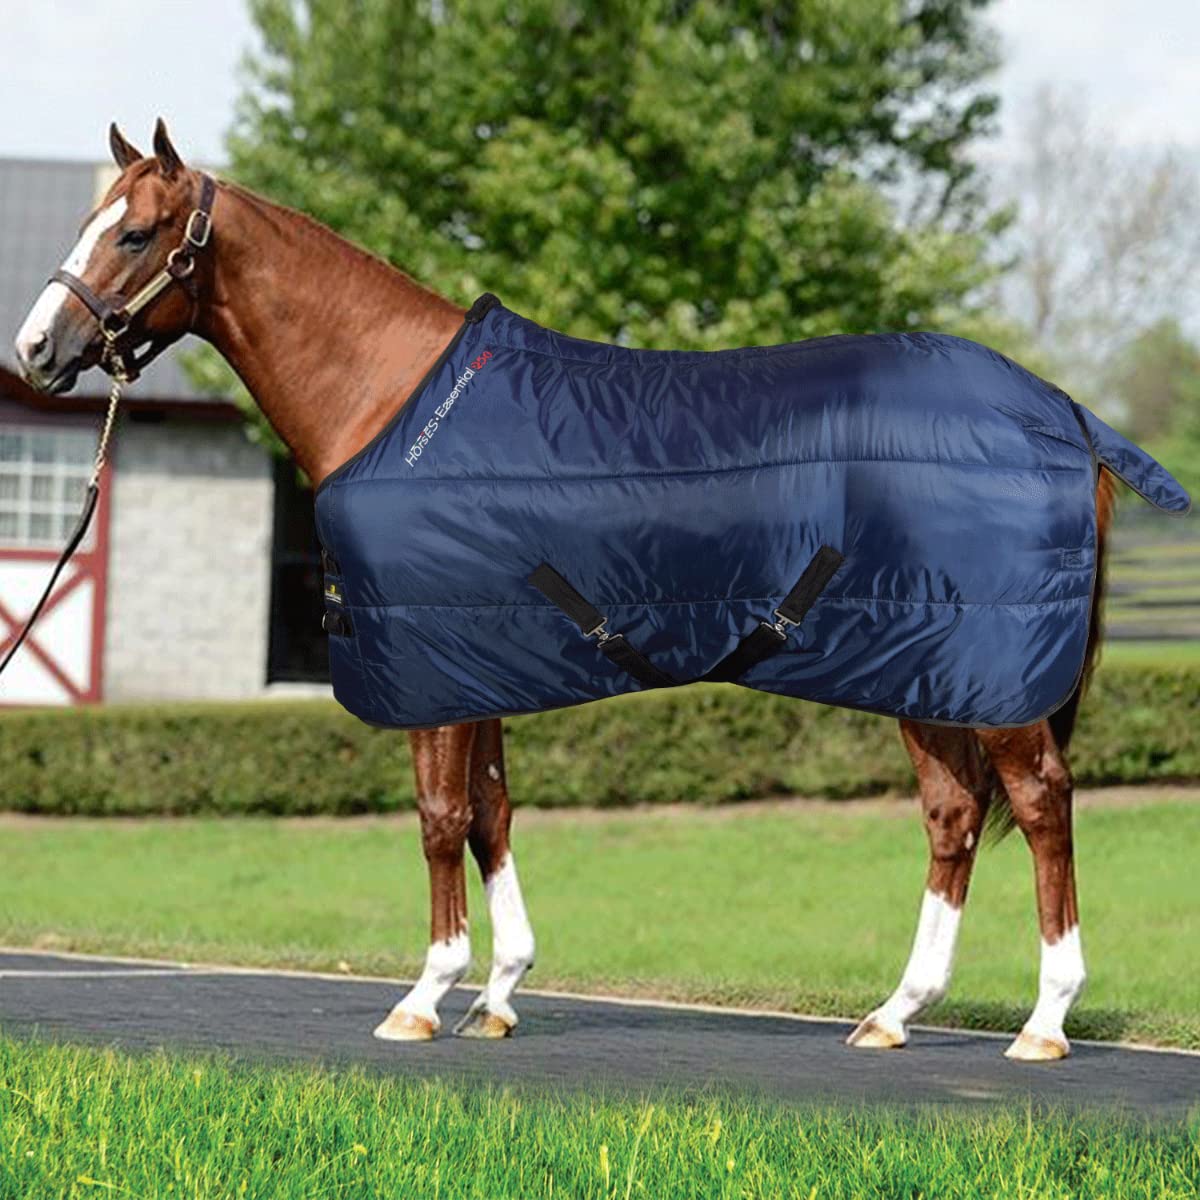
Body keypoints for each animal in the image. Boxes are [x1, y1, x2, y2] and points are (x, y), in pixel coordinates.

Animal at [13, 120, 1114, 1062]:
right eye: (90, 223)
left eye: (138, 232)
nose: (33, 351)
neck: (398, 398)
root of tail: (1061, 415)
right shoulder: (477, 658)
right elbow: (492, 814)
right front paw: (499, 995)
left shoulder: (430, 660)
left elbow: (440, 817)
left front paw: (426, 996)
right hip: (925, 666)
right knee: (953, 812)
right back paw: (896, 1012)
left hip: (983, 669)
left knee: (1040, 800)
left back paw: (1045, 1021)